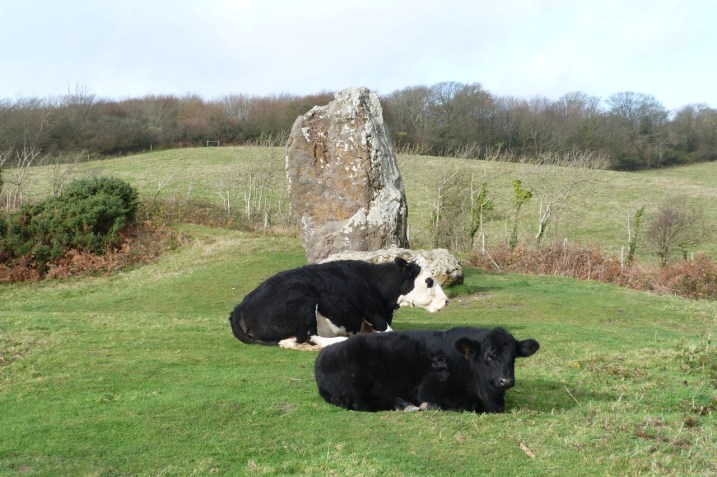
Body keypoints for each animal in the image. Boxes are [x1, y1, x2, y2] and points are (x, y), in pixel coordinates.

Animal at [228, 257, 449, 350]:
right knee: (310, 338)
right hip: (301, 301)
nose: (446, 301)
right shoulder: (374, 315)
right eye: (429, 281)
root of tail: (241, 305)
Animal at [314, 326, 539, 412]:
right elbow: (467, 403)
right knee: (364, 402)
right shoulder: (431, 388)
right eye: (488, 356)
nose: (506, 380)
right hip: (355, 387)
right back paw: (404, 405)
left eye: (514, 357)